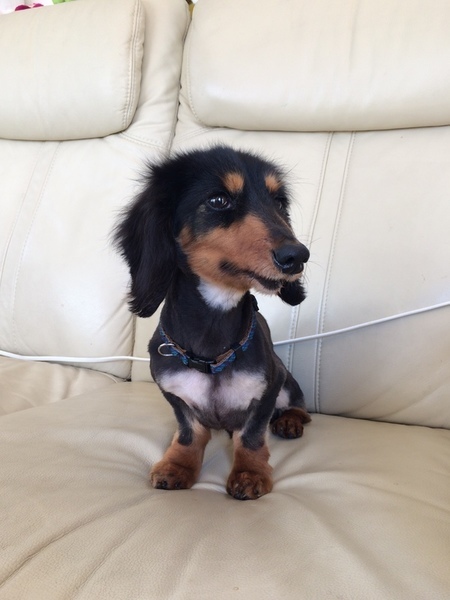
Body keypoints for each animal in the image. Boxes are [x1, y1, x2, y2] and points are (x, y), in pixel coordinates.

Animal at [115, 145, 311, 500]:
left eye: (279, 202)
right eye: (218, 200)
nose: (297, 256)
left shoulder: (270, 388)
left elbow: (251, 436)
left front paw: (250, 473)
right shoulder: (174, 394)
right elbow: (190, 433)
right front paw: (177, 466)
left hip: (288, 384)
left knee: (301, 408)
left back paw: (289, 421)